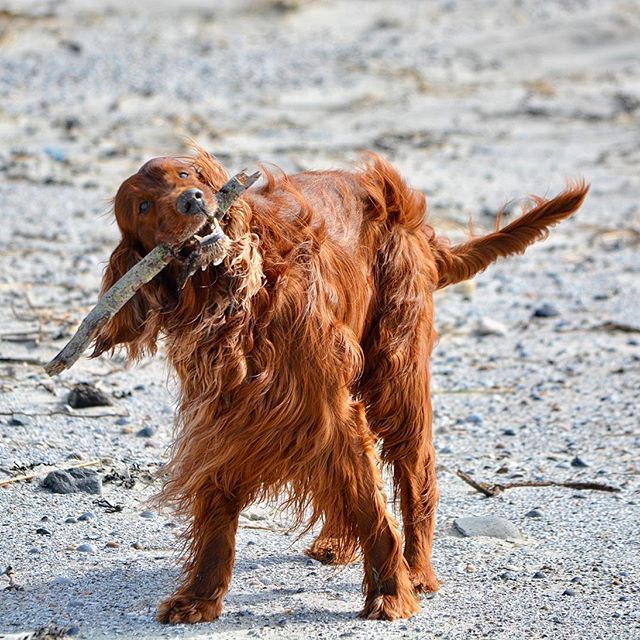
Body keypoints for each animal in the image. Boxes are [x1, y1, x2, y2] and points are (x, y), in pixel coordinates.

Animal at [92, 148, 588, 624]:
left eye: (187, 174)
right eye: (142, 206)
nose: (193, 200)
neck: (237, 299)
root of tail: (411, 222)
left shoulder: (326, 406)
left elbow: (371, 506)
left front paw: (390, 593)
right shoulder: (228, 417)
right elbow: (220, 511)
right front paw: (199, 597)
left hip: (397, 379)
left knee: (417, 477)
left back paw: (417, 570)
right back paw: (338, 543)